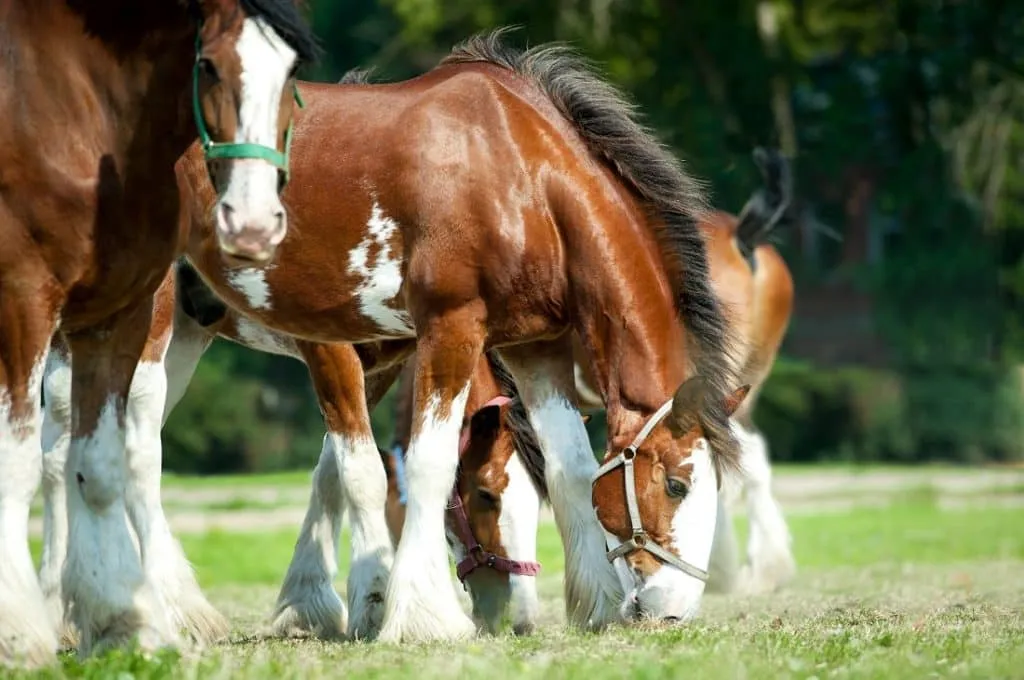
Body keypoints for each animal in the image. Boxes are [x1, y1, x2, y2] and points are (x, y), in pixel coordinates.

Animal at [0, 0, 316, 666]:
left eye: (292, 68)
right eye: (208, 65)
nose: (252, 223)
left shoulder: (116, 314)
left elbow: (99, 462)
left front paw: (122, 620)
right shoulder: (22, 304)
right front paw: (19, 632)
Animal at [44, 26, 747, 644]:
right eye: (678, 484)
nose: (671, 608)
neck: (519, 174)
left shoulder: (529, 347)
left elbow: (566, 465)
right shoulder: (404, 334)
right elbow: (396, 469)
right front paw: (410, 611)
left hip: (188, 332)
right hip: (148, 320)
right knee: (128, 449)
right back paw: (162, 607)